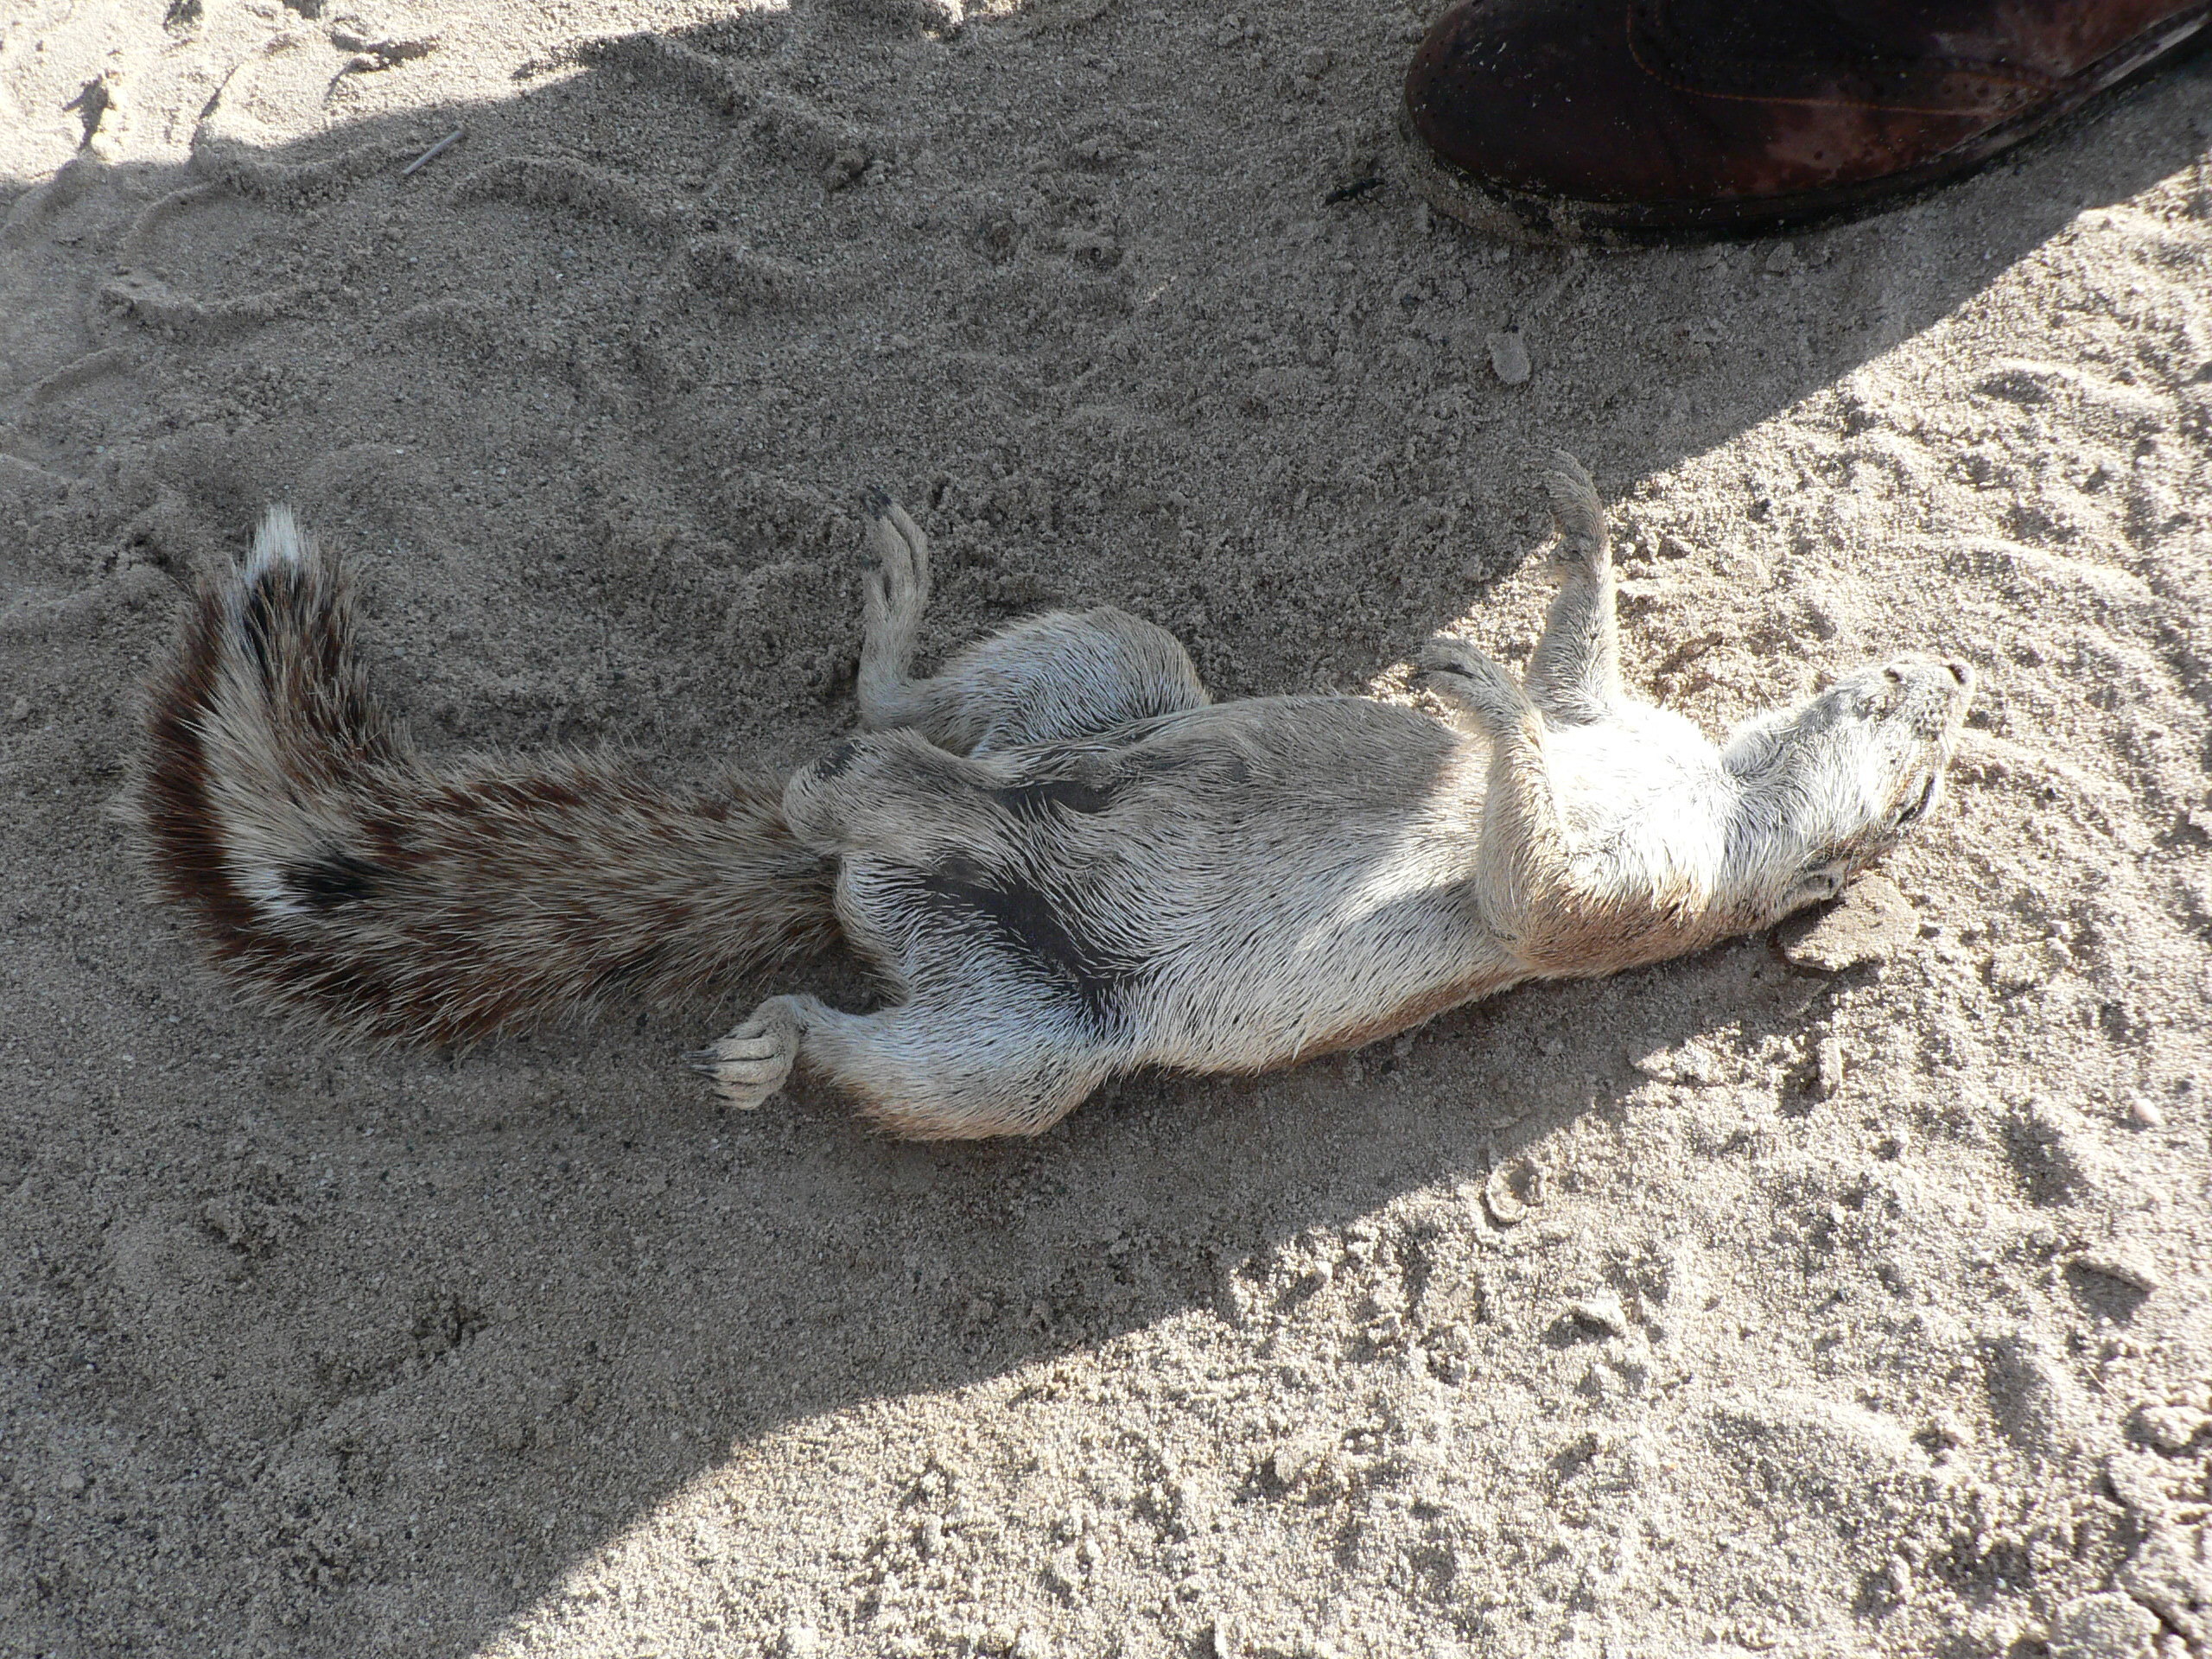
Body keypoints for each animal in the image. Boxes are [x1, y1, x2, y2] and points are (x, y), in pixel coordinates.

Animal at [138, 455, 1973, 1141]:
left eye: (1923, 791)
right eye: (1926, 731)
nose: (1946, 674)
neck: (1716, 775)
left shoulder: (1625, 906)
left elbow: (1542, 890)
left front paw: (1481, 700)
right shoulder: (1624, 714)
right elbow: (1583, 650)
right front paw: (1579, 528)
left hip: (1015, 1055)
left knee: (877, 1000)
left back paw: (781, 1021)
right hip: (1103, 667)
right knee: (937, 727)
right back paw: (895, 659)